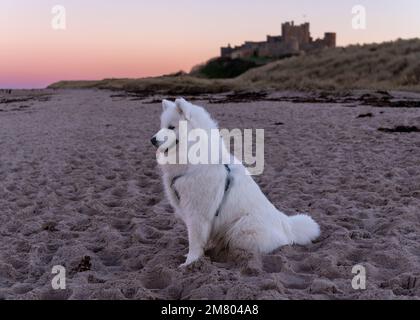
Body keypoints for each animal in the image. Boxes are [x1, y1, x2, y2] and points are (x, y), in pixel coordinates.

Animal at [153, 98, 320, 268]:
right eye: (162, 126)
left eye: (171, 127)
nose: (152, 140)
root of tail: (286, 225)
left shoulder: (197, 214)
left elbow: (194, 241)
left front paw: (189, 263)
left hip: (241, 228)